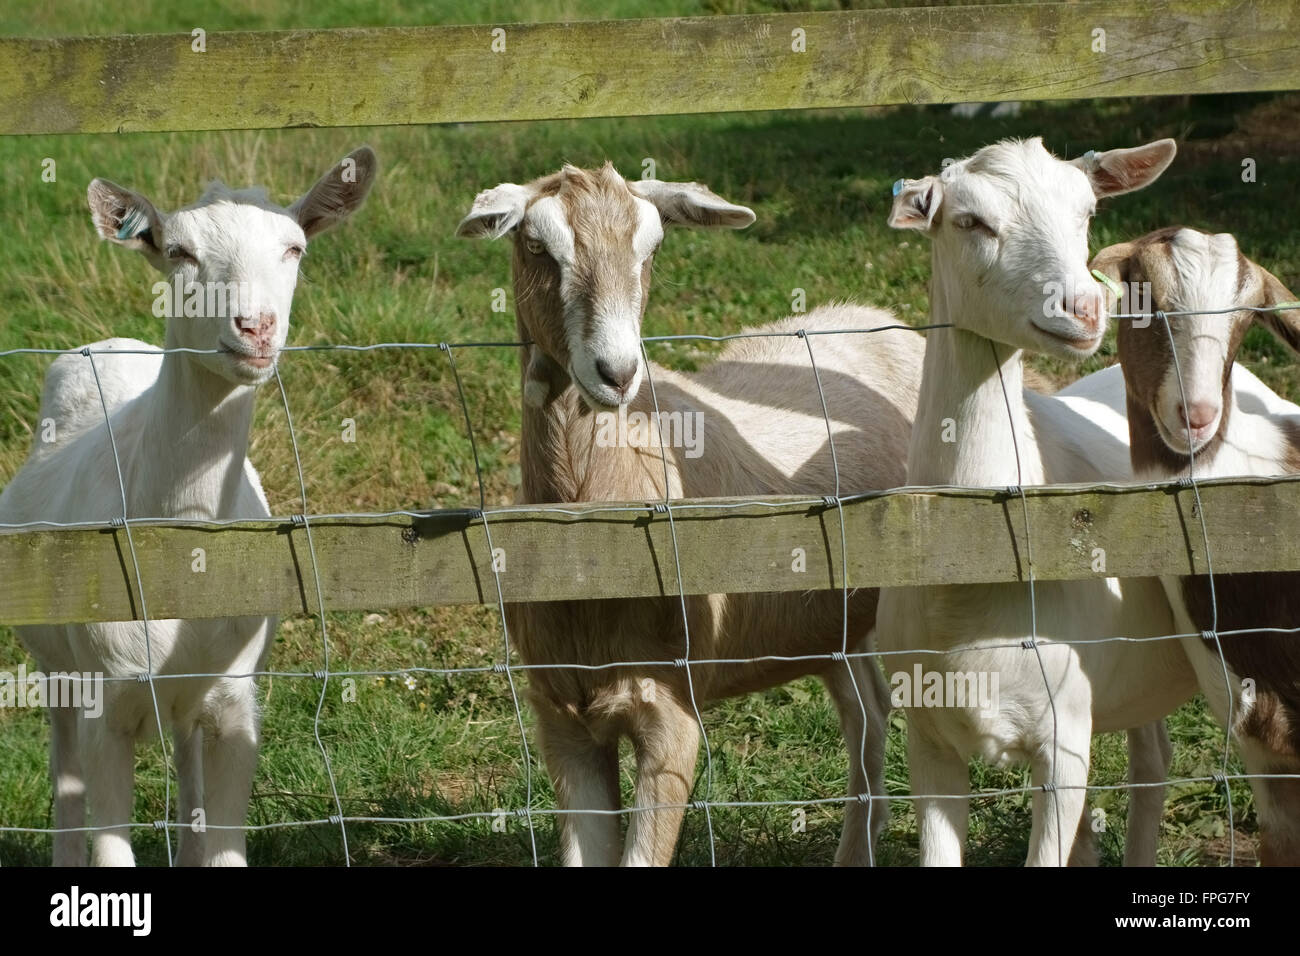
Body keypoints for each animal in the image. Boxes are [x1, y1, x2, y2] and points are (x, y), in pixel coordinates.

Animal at [0, 147, 377, 868]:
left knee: (187, 783)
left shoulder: (234, 703)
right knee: (65, 780)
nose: (255, 328)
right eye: (178, 251)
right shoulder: (108, 700)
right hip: (55, 659)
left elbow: (223, 839)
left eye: (294, 247)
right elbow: (108, 842)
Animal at [457, 162, 925, 868]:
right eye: (537, 245)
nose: (617, 372)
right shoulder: (561, 720)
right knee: (867, 706)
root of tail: (884, 321)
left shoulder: (670, 716)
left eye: (651, 248)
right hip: (827, 623)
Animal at [878, 136, 1201, 868]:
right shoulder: (928, 740)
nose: (1082, 308)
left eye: (1088, 212)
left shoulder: (1066, 739)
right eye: (970, 221)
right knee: (1153, 754)